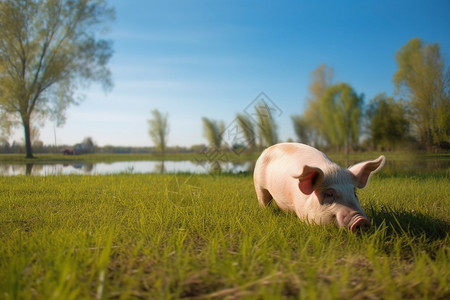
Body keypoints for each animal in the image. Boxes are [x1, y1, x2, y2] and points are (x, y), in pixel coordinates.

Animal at [255, 143, 384, 232]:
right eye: (329, 194)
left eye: (354, 193)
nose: (361, 220)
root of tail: (266, 149)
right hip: (259, 185)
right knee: (264, 200)